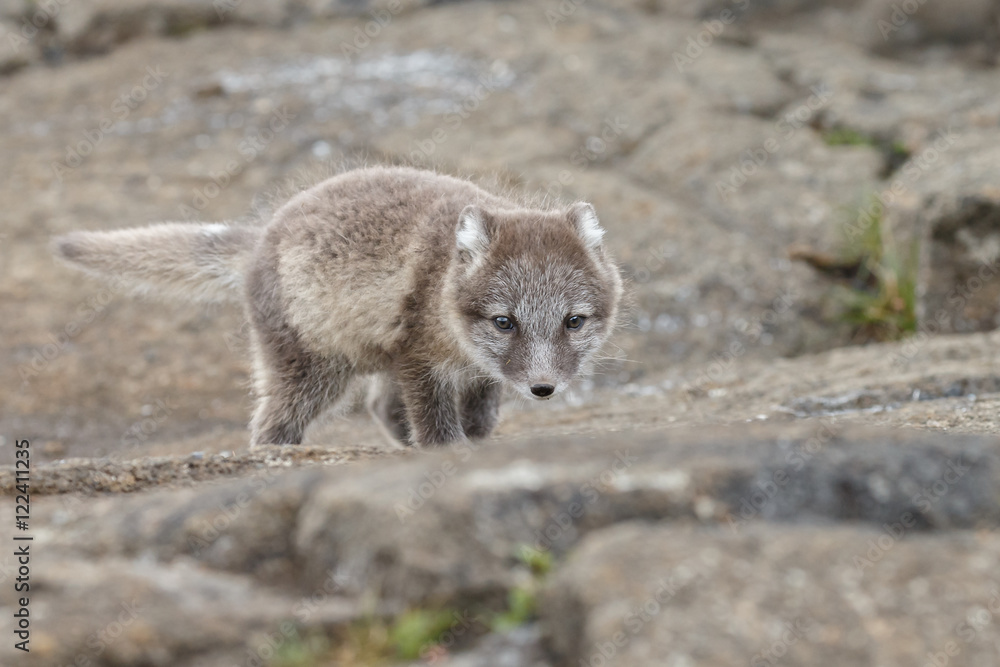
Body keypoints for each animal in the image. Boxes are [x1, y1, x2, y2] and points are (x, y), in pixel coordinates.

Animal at [53, 166, 623, 448]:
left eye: (573, 321)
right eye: (505, 321)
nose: (543, 388)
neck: (441, 280)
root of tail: (260, 239)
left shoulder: (469, 370)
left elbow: (479, 413)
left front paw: (475, 440)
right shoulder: (420, 360)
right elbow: (437, 424)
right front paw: (447, 449)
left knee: (380, 407)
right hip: (312, 369)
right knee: (270, 423)